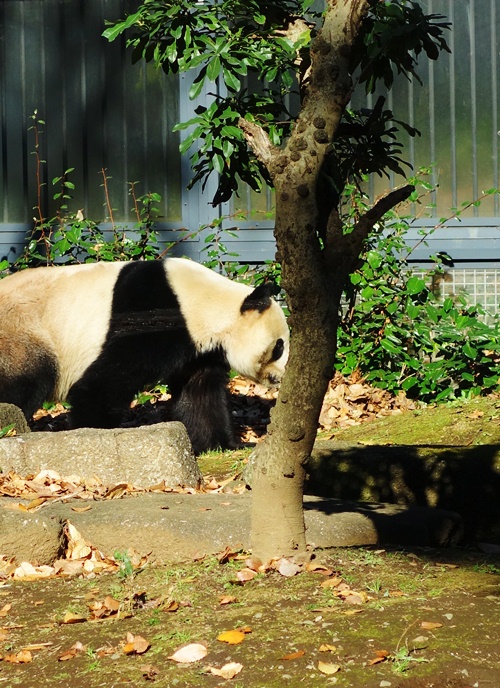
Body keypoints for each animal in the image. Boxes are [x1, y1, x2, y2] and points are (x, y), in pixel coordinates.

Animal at [0, 258, 289, 454]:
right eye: (279, 346)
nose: (280, 377)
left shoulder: (199, 351)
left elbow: (201, 394)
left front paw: (225, 445)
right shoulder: (152, 315)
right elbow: (104, 381)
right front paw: (98, 432)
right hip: (24, 333)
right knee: (26, 383)